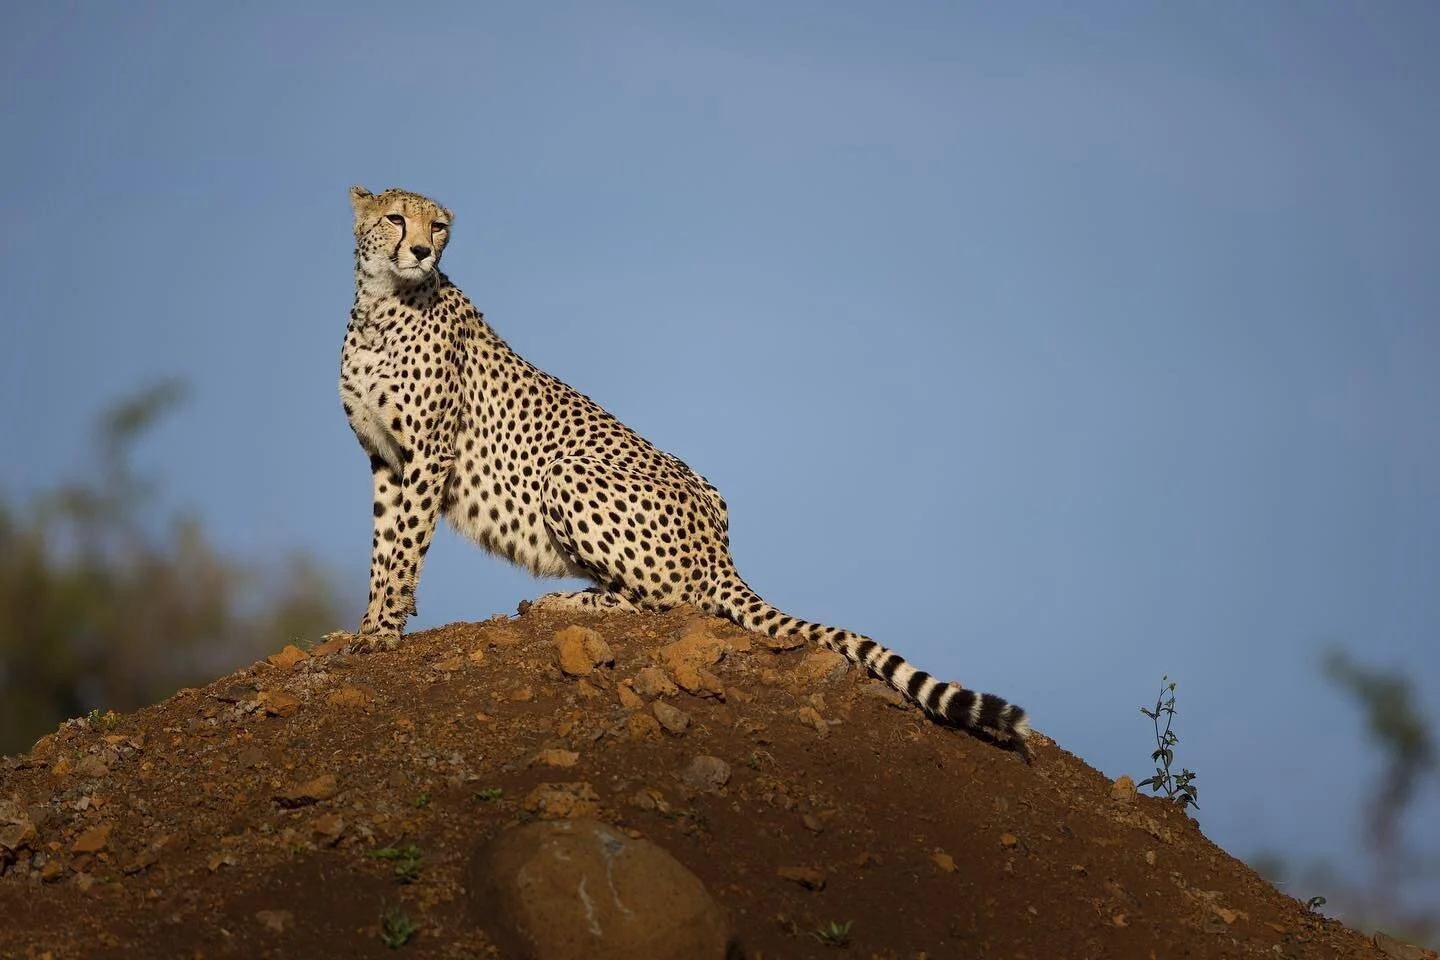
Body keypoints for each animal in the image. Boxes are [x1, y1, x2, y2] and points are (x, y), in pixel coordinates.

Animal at [338, 186, 1031, 757]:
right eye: (396, 218)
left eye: (439, 226)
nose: (421, 250)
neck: (381, 307)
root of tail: (720, 545)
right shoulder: (384, 458)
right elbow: (383, 544)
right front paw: (367, 627)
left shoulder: (430, 455)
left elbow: (405, 546)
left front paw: (385, 632)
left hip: (569, 470)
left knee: (671, 600)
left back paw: (566, 602)